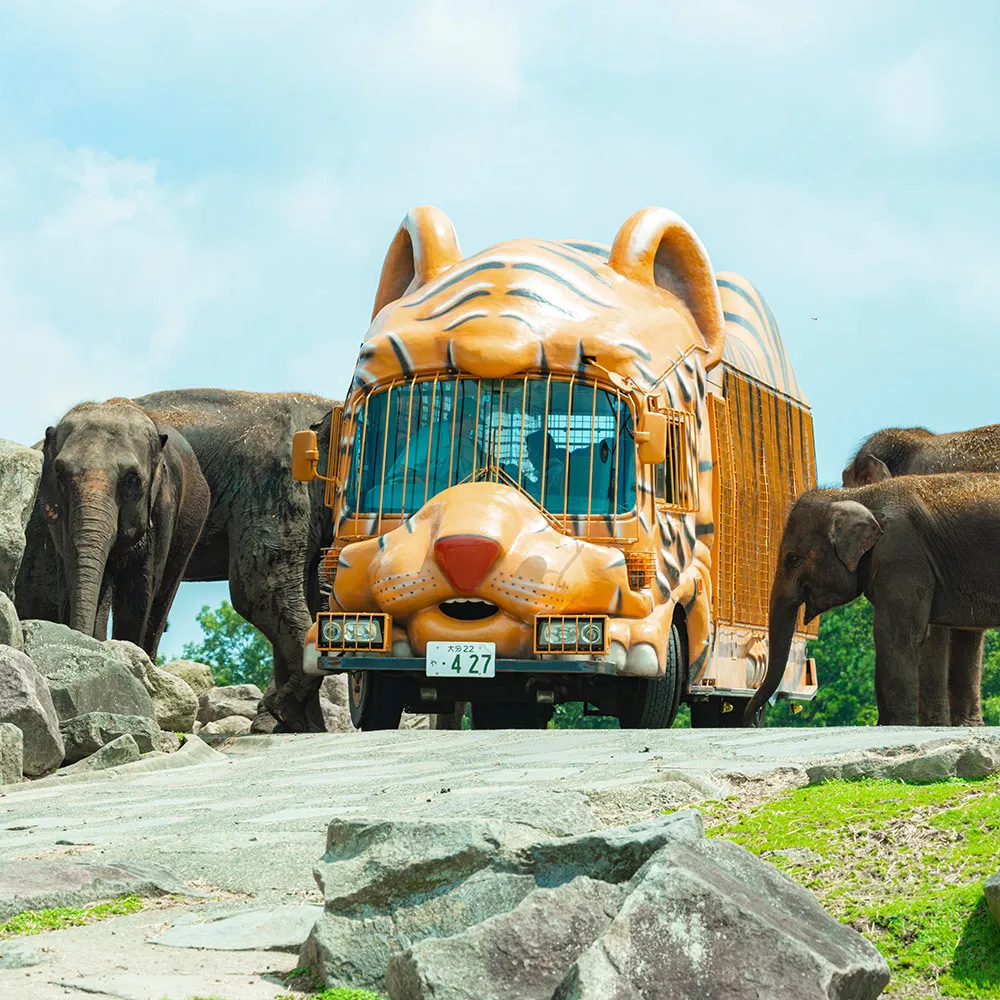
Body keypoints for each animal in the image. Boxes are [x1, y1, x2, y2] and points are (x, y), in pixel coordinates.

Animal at [34, 394, 211, 660]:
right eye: (60, 474)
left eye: (131, 481)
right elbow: (76, 574)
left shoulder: (162, 510)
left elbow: (138, 593)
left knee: (162, 598)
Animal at [744, 476, 1000, 728]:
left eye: (793, 559)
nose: (751, 719)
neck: (858, 495)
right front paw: (884, 724)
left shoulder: (901, 555)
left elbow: (895, 635)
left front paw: (898, 724)